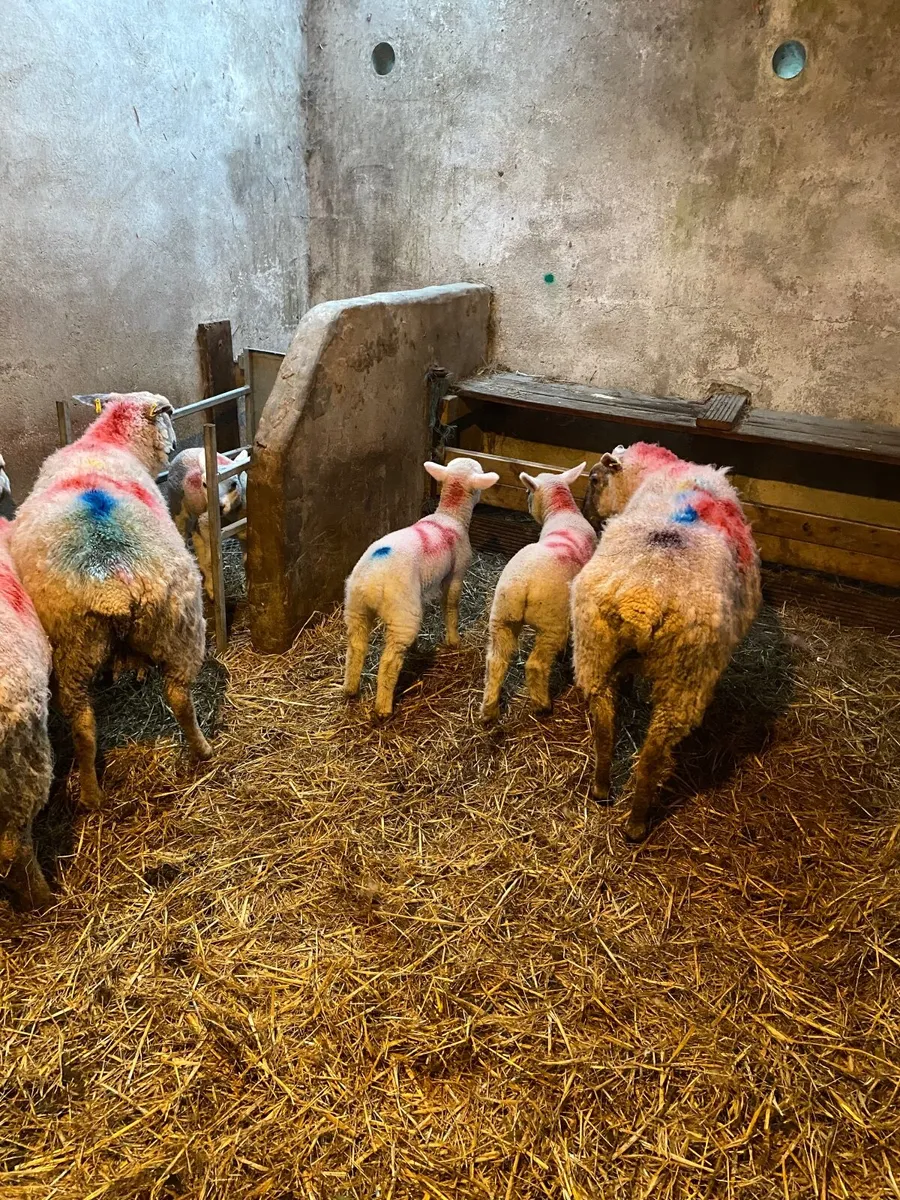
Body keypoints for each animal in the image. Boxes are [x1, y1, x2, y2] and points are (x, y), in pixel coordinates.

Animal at [9, 393, 212, 810]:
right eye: (167, 416)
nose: (172, 446)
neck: (105, 442)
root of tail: (114, 579)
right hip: (175, 628)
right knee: (177, 700)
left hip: (78, 648)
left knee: (86, 727)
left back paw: (91, 791)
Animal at [167, 447, 249, 600]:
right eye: (204, 484)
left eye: (234, 484)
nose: (219, 506)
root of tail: (185, 451)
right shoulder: (207, 524)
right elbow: (211, 561)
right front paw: (212, 589)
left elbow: (247, 559)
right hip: (177, 506)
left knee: (195, 534)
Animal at [343, 456, 499, 718]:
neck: (449, 515)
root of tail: (372, 581)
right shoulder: (456, 574)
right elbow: (451, 606)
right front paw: (454, 640)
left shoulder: (422, 592)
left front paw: (418, 644)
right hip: (401, 613)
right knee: (389, 662)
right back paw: (383, 707)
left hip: (356, 607)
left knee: (355, 646)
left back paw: (350, 689)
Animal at [480, 462, 596, 722]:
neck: (563, 512)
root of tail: (521, 586)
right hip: (551, 622)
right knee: (535, 665)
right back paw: (542, 705)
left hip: (501, 616)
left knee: (495, 661)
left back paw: (489, 710)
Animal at [572, 441, 761, 842]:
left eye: (594, 479)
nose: (586, 514)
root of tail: (643, 598)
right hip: (686, 675)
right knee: (654, 751)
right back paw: (636, 824)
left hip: (594, 648)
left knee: (605, 726)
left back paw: (601, 789)